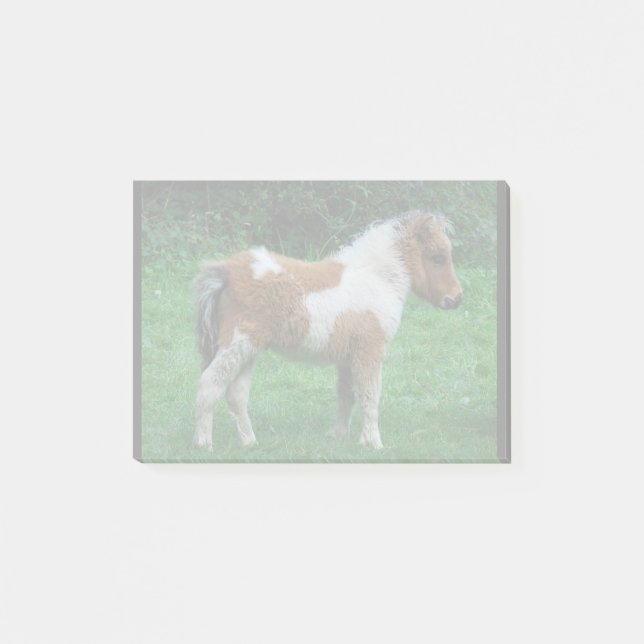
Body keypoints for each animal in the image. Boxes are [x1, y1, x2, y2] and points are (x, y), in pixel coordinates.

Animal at [193, 211, 463, 450]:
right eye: (438, 258)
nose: (456, 298)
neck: (377, 279)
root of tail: (226, 272)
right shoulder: (370, 350)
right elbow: (370, 396)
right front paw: (374, 443)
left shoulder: (348, 356)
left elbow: (347, 395)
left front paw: (340, 437)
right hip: (239, 343)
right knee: (210, 383)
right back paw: (203, 443)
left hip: (249, 349)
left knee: (236, 393)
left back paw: (249, 442)